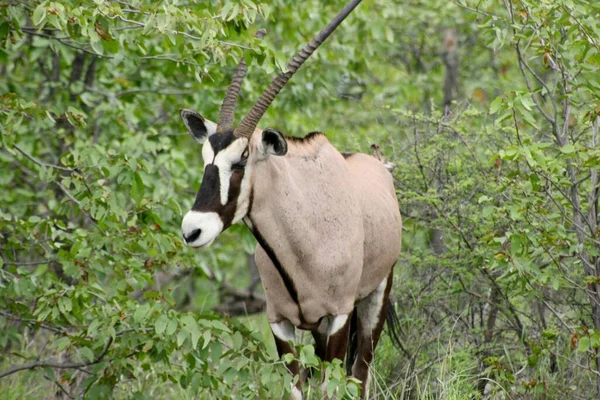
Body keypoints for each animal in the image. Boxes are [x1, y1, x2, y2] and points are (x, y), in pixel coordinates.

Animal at [178, 0, 404, 396]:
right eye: (206, 158)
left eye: (242, 159)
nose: (193, 230)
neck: (306, 238)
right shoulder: (280, 322)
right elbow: (296, 389)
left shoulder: (338, 316)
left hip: (373, 299)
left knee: (359, 375)